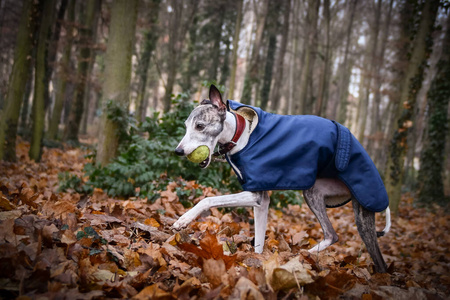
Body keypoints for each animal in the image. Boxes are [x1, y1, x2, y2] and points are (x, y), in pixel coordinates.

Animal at [172, 85, 390, 274]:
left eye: (200, 126)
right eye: (185, 126)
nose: (178, 151)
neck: (242, 135)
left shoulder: (255, 194)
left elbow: (208, 199)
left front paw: (184, 219)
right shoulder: (262, 201)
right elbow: (259, 242)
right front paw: (257, 264)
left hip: (362, 208)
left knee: (372, 257)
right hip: (315, 191)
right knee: (332, 234)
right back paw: (304, 255)